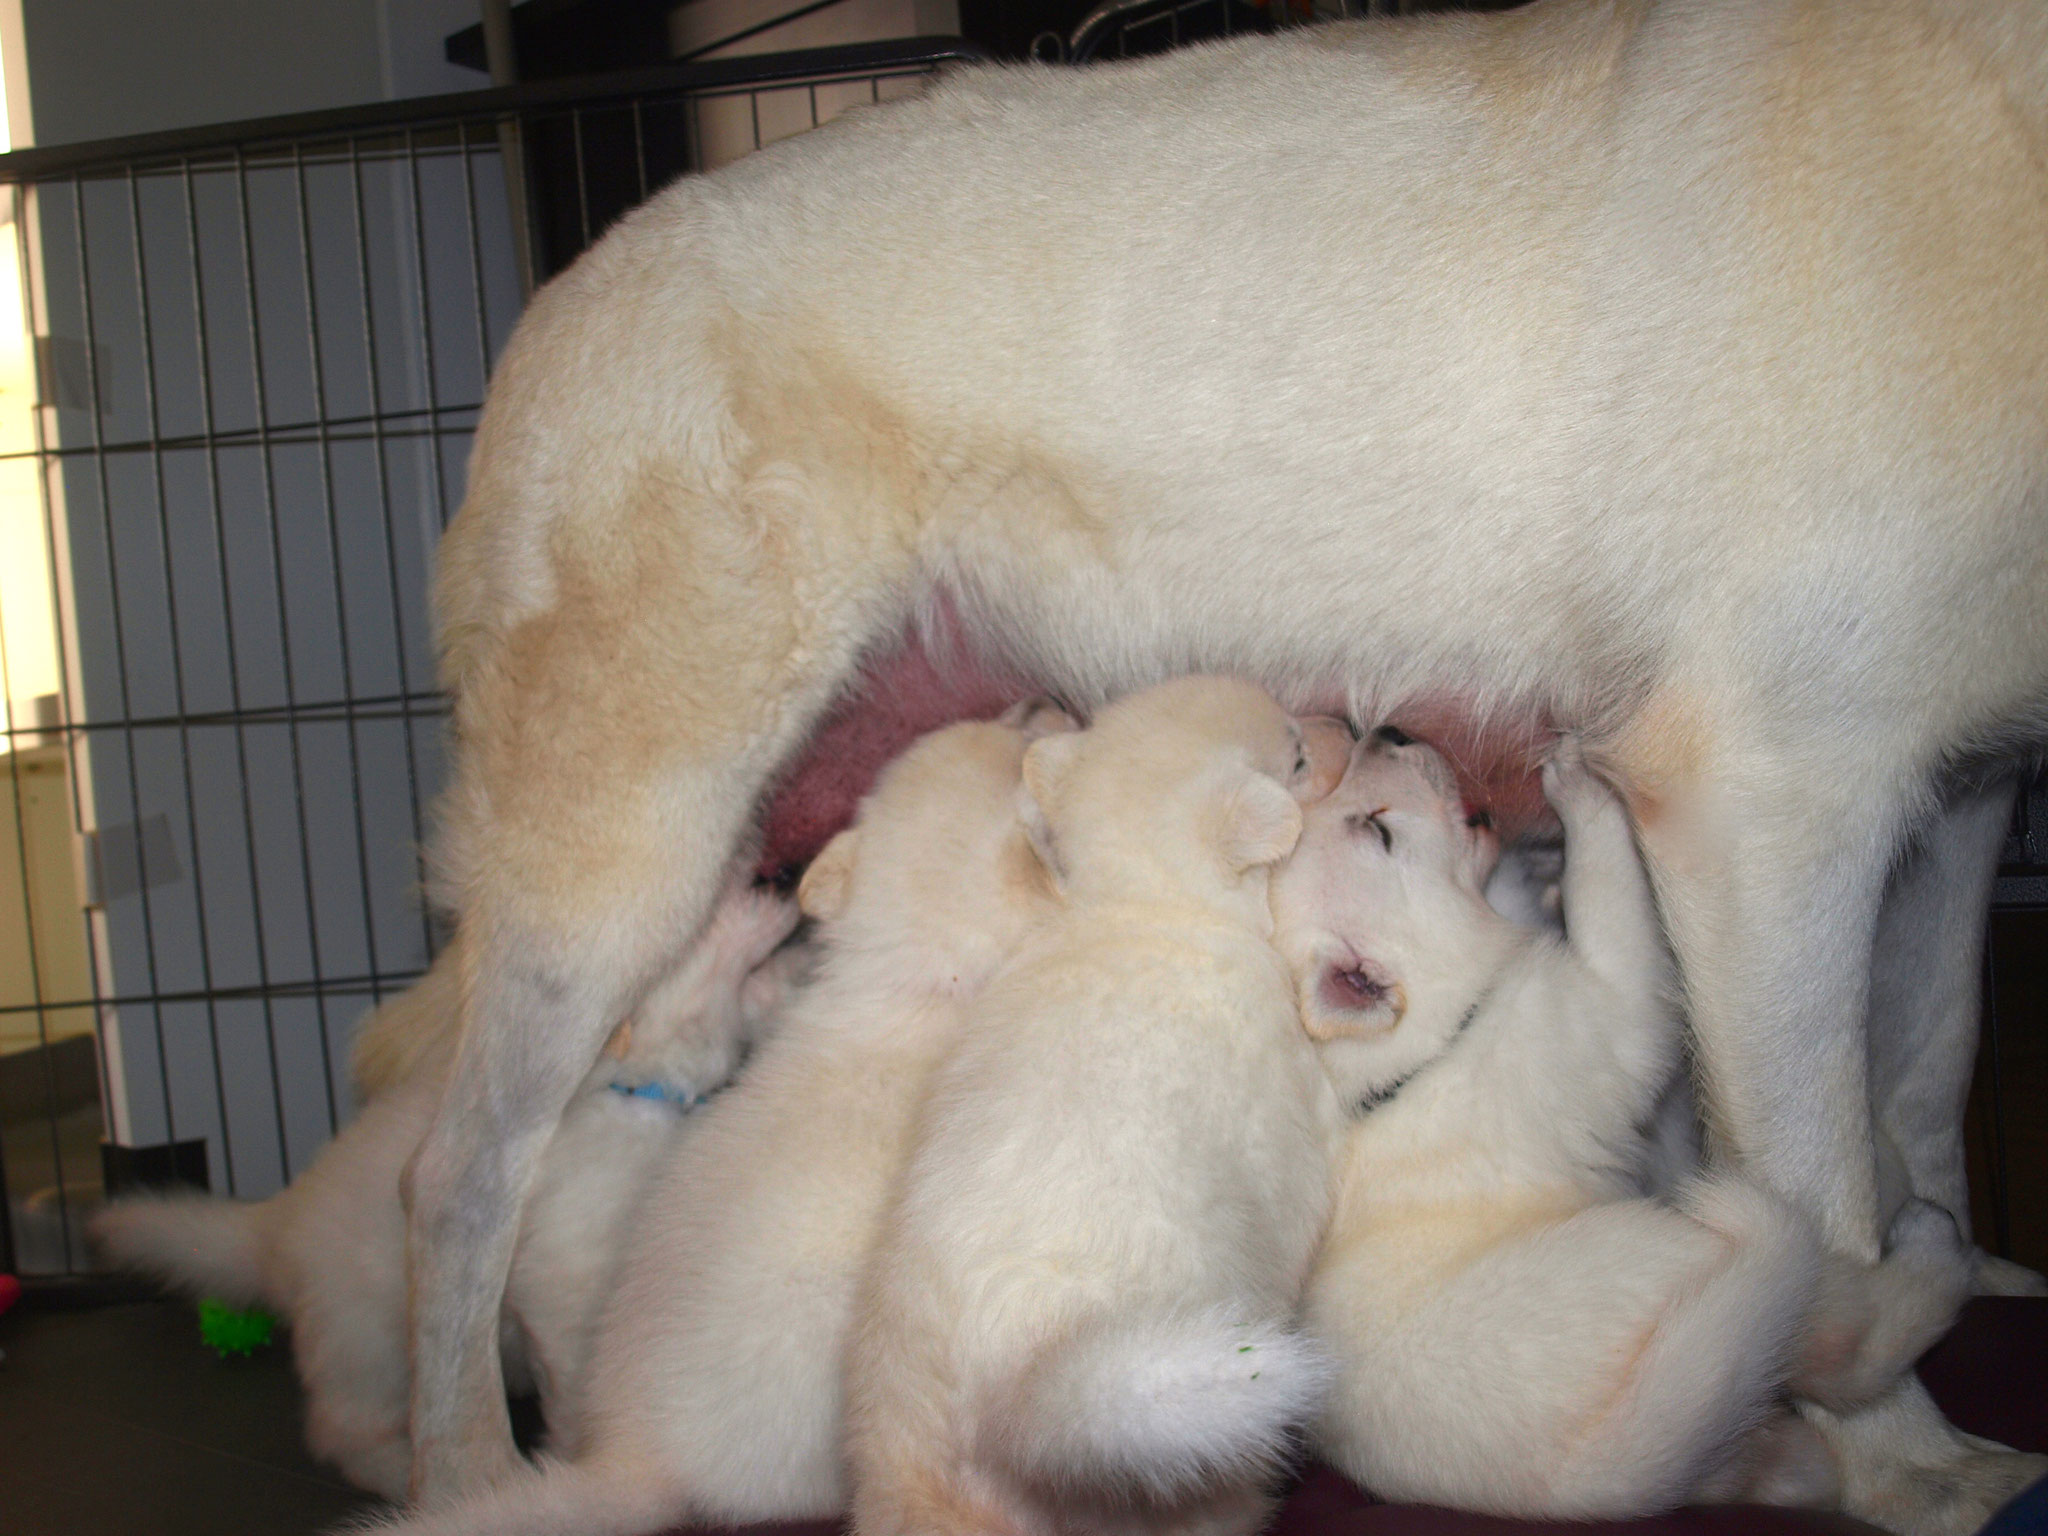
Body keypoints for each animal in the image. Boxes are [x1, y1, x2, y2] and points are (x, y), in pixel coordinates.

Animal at [88, 884, 794, 1499]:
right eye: (699, 923)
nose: (779, 880)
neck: (636, 1090)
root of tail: (275, 1227)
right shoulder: (568, 1281)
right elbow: (578, 1382)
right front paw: (578, 1465)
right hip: (366, 1338)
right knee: (340, 1429)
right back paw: (401, 1471)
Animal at [1277, 737, 1966, 1531]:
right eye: (1378, 831)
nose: (1390, 731)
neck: (1434, 1033)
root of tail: (1593, 1484)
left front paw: (1542, 870)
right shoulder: (1610, 1008)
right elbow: (1612, 899)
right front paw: (1581, 789)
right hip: (1673, 1256)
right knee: (1840, 1341)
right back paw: (1933, 1245)